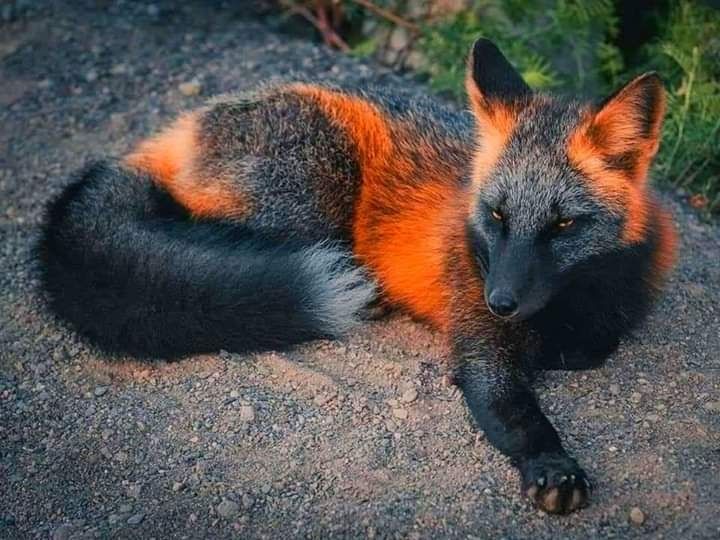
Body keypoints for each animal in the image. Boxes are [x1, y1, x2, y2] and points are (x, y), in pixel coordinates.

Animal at [39, 39, 676, 516]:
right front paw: (552, 465)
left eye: (563, 224)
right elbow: (516, 411)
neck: (571, 301)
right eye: (496, 216)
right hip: (312, 200)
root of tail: (185, 124)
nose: (500, 300)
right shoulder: (479, 342)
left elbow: (594, 345)